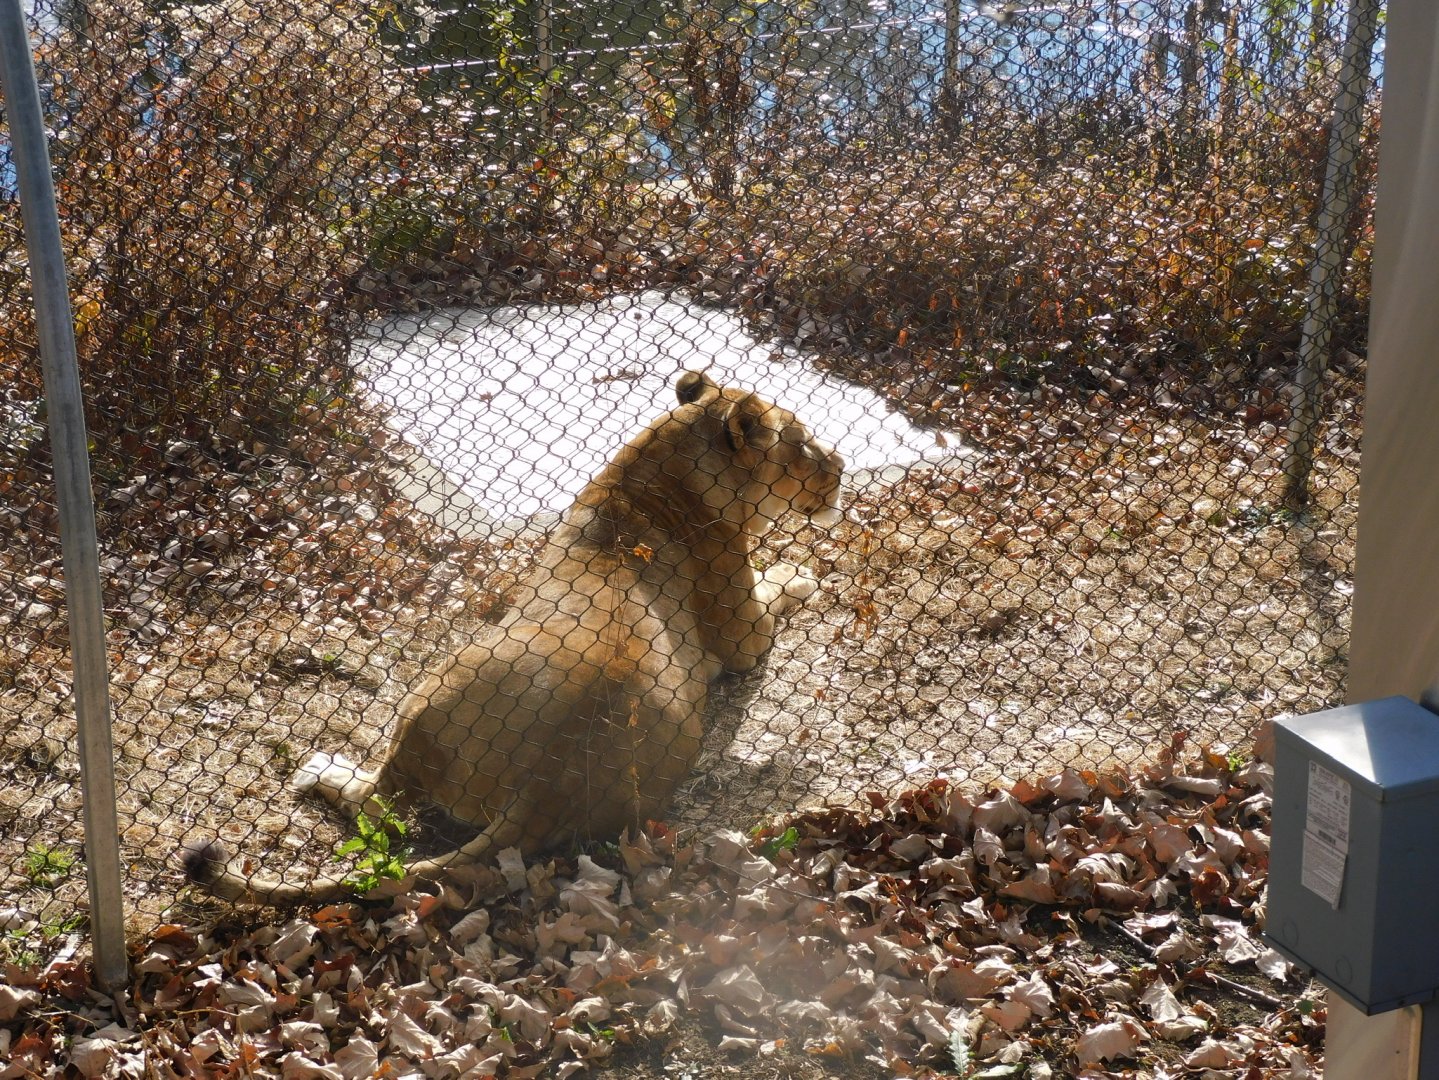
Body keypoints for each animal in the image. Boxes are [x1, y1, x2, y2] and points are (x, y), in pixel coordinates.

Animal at [182, 370, 844, 903]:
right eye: (804, 443)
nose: (840, 466)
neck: (662, 471)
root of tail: (547, 781)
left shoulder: (743, 638)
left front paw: (800, 570)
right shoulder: (744, 637)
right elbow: (778, 583)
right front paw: (802, 571)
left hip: (439, 682)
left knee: (384, 808)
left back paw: (323, 768)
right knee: (382, 805)